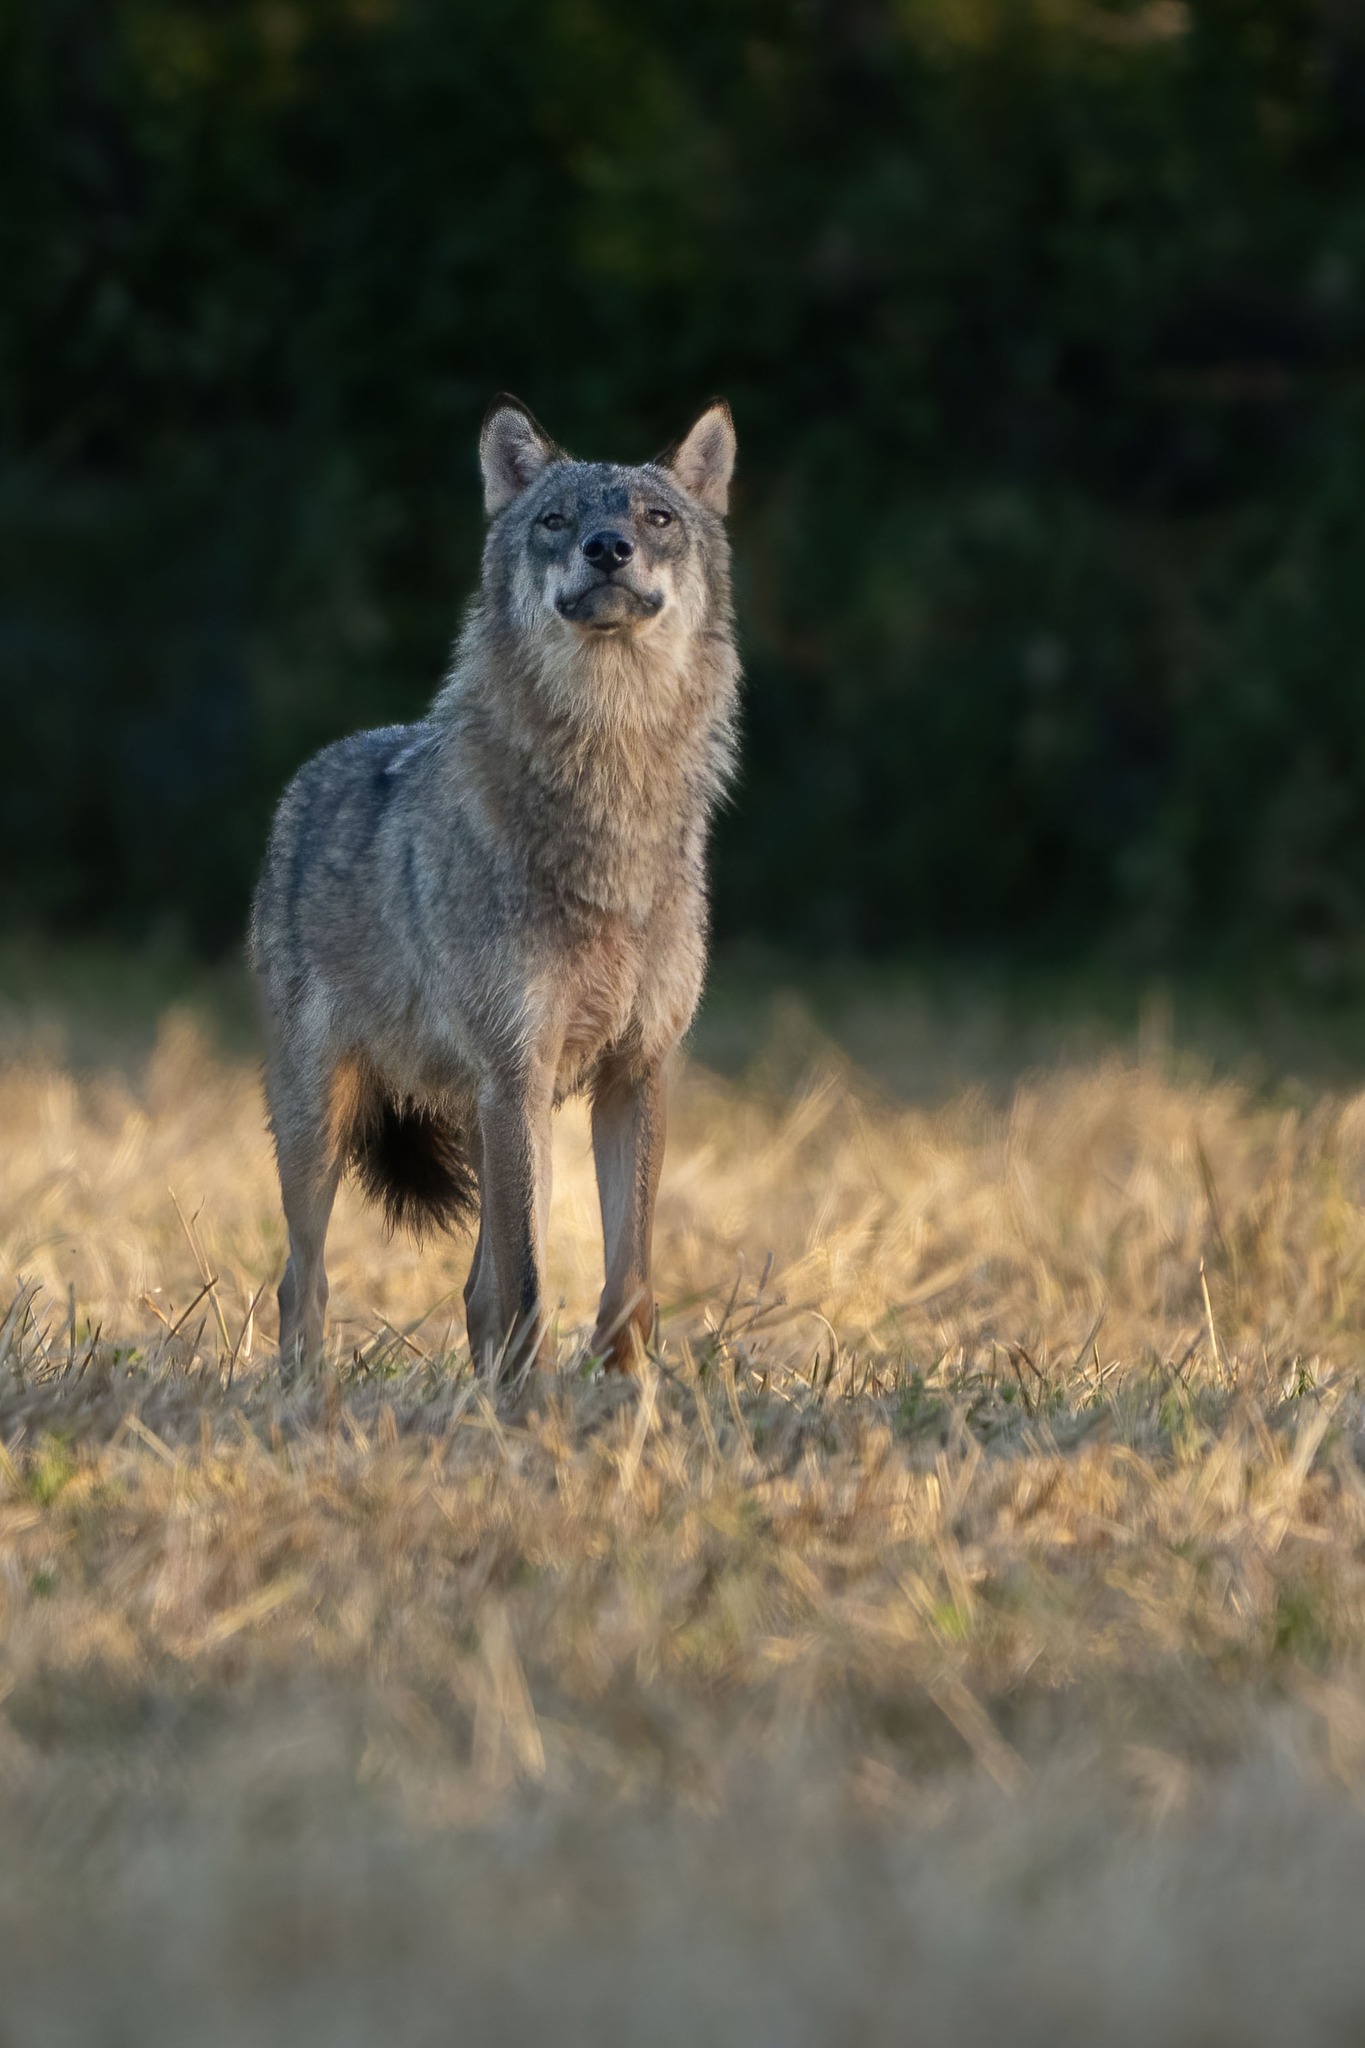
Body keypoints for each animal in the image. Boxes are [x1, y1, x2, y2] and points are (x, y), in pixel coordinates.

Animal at [248, 395, 739, 1375]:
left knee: (472, 1289)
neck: (610, 797)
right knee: (302, 1282)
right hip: (325, 1126)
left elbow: (628, 1287)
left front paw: (628, 1403)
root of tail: (316, 769)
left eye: (656, 518)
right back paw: (305, 1397)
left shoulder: (634, 1072)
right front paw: (536, 1409)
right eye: (554, 520)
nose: (605, 547)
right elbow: (529, 1290)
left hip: (497, 1118)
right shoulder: (518, 1070)